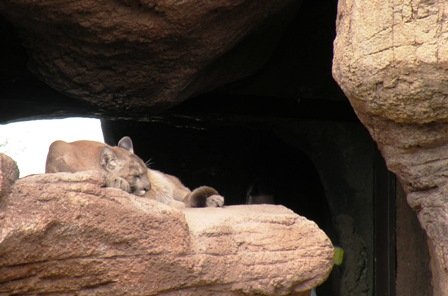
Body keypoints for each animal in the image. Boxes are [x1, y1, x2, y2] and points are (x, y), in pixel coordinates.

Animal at [45, 137, 224, 208]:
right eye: (136, 175)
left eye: (146, 172)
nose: (149, 187)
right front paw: (117, 182)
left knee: (186, 194)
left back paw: (213, 200)